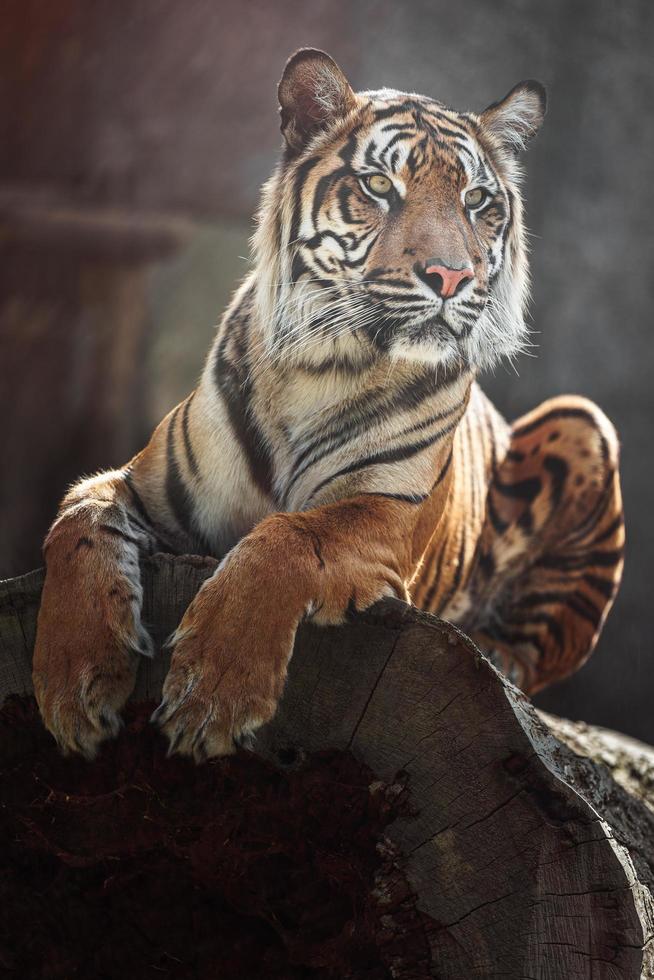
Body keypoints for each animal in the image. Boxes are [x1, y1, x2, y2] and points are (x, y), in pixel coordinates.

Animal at [33, 49, 628, 760]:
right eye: (378, 186)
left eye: (477, 200)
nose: (453, 277)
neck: (321, 368)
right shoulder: (144, 486)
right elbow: (75, 522)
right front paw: (74, 686)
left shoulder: (387, 511)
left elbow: (288, 535)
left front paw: (212, 694)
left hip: (583, 421)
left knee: (535, 656)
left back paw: (494, 658)